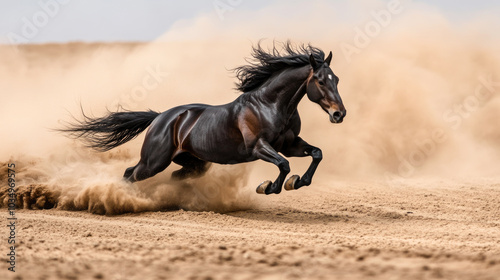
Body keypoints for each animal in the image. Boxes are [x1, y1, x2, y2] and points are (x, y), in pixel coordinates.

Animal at [61, 42, 344, 195]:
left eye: (337, 79)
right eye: (320, 80)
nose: (339, 114)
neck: (269, 105)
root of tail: (160, 118)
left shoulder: (290, 144)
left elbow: (316, 153)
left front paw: (299, 182)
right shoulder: (259, 147)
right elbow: (283, 165)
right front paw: (269, 187)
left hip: (193, 162)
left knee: (175, 177)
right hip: (153, 162)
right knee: (130, 174)